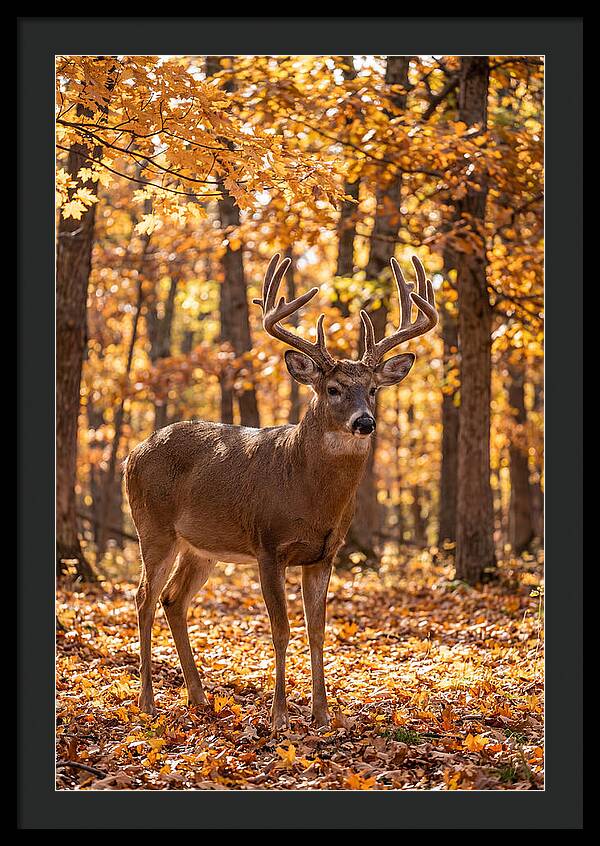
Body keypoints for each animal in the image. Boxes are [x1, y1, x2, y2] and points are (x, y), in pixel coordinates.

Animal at [125, 252, 438, 730]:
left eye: (372, 389)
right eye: (333, 389)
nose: (365, 422)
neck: (308, 493)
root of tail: (132, 454)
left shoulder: (325, 553)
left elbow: (317, 630)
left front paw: (323, 714)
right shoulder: (268, 545)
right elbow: (281, 629)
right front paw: (279, 716)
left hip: (201, 546)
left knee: (173, 600)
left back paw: (199, 697)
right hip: (153, 528)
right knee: (144, 597)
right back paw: (147, 702)